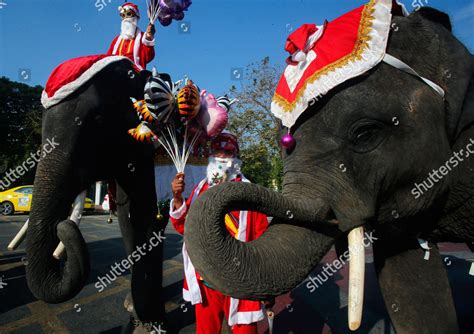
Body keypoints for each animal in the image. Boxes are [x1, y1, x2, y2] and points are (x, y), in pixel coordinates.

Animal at [25, 58, 168, 330]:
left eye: (97, 120)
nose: (63, 225)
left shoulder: (144, 154)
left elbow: (146, 218)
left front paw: (150, 323)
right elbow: (127, 221)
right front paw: (136, 312)